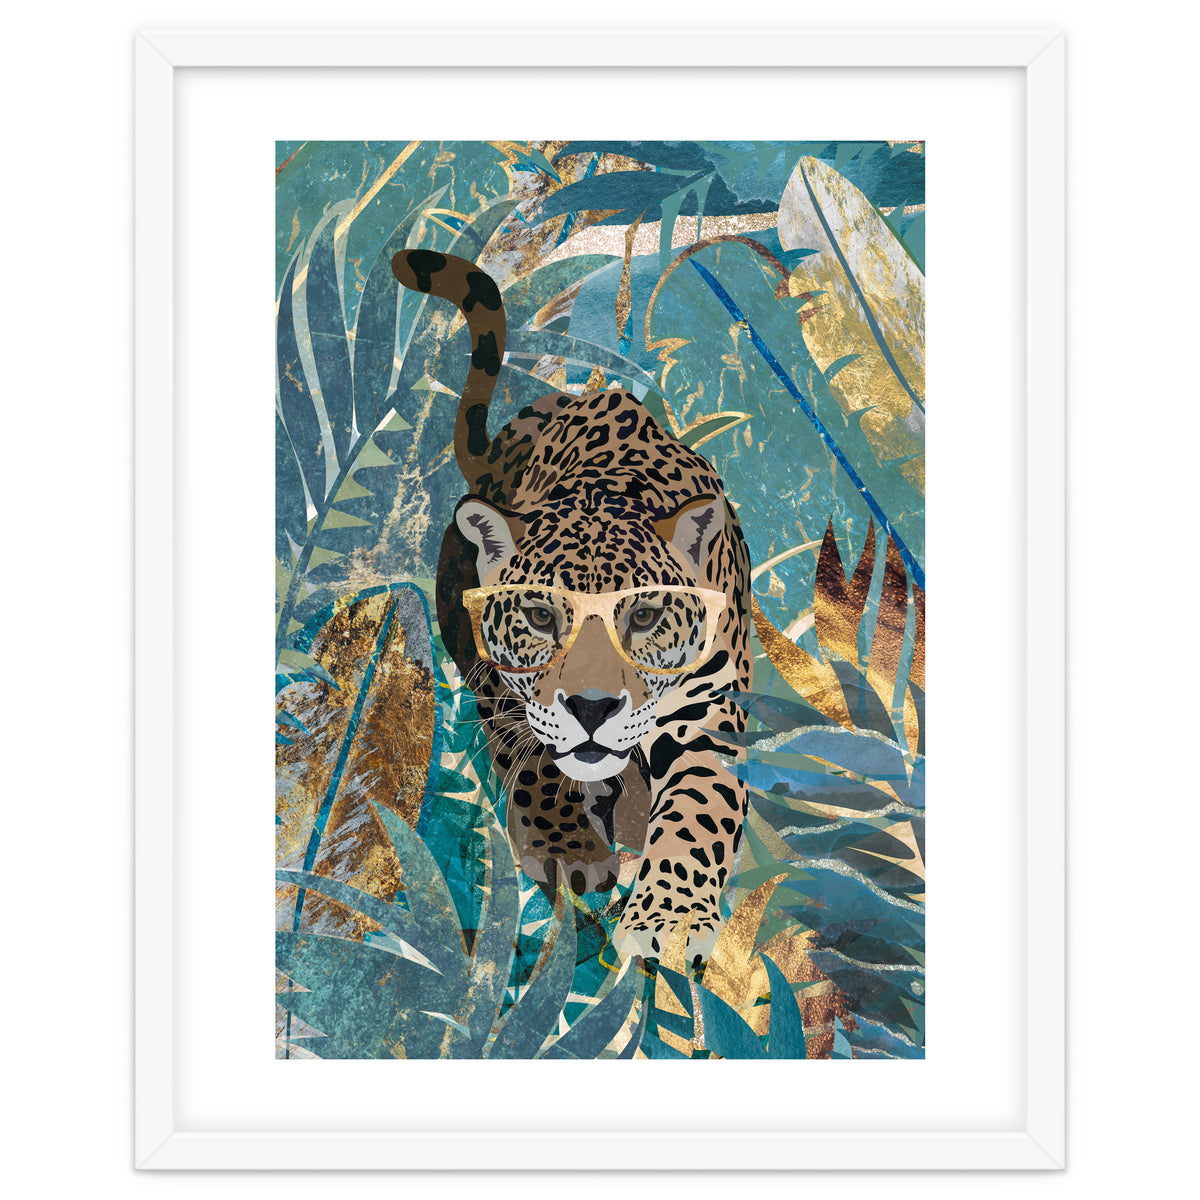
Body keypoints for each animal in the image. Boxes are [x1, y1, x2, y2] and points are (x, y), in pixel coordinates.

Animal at [392, 248, 752, 963]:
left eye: (643, 616)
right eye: (540, 616)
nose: (591, 708)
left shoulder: (709, 713)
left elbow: (699, 810)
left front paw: (670, 920)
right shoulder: (498, 680)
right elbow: (531, 757)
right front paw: (567, 848)